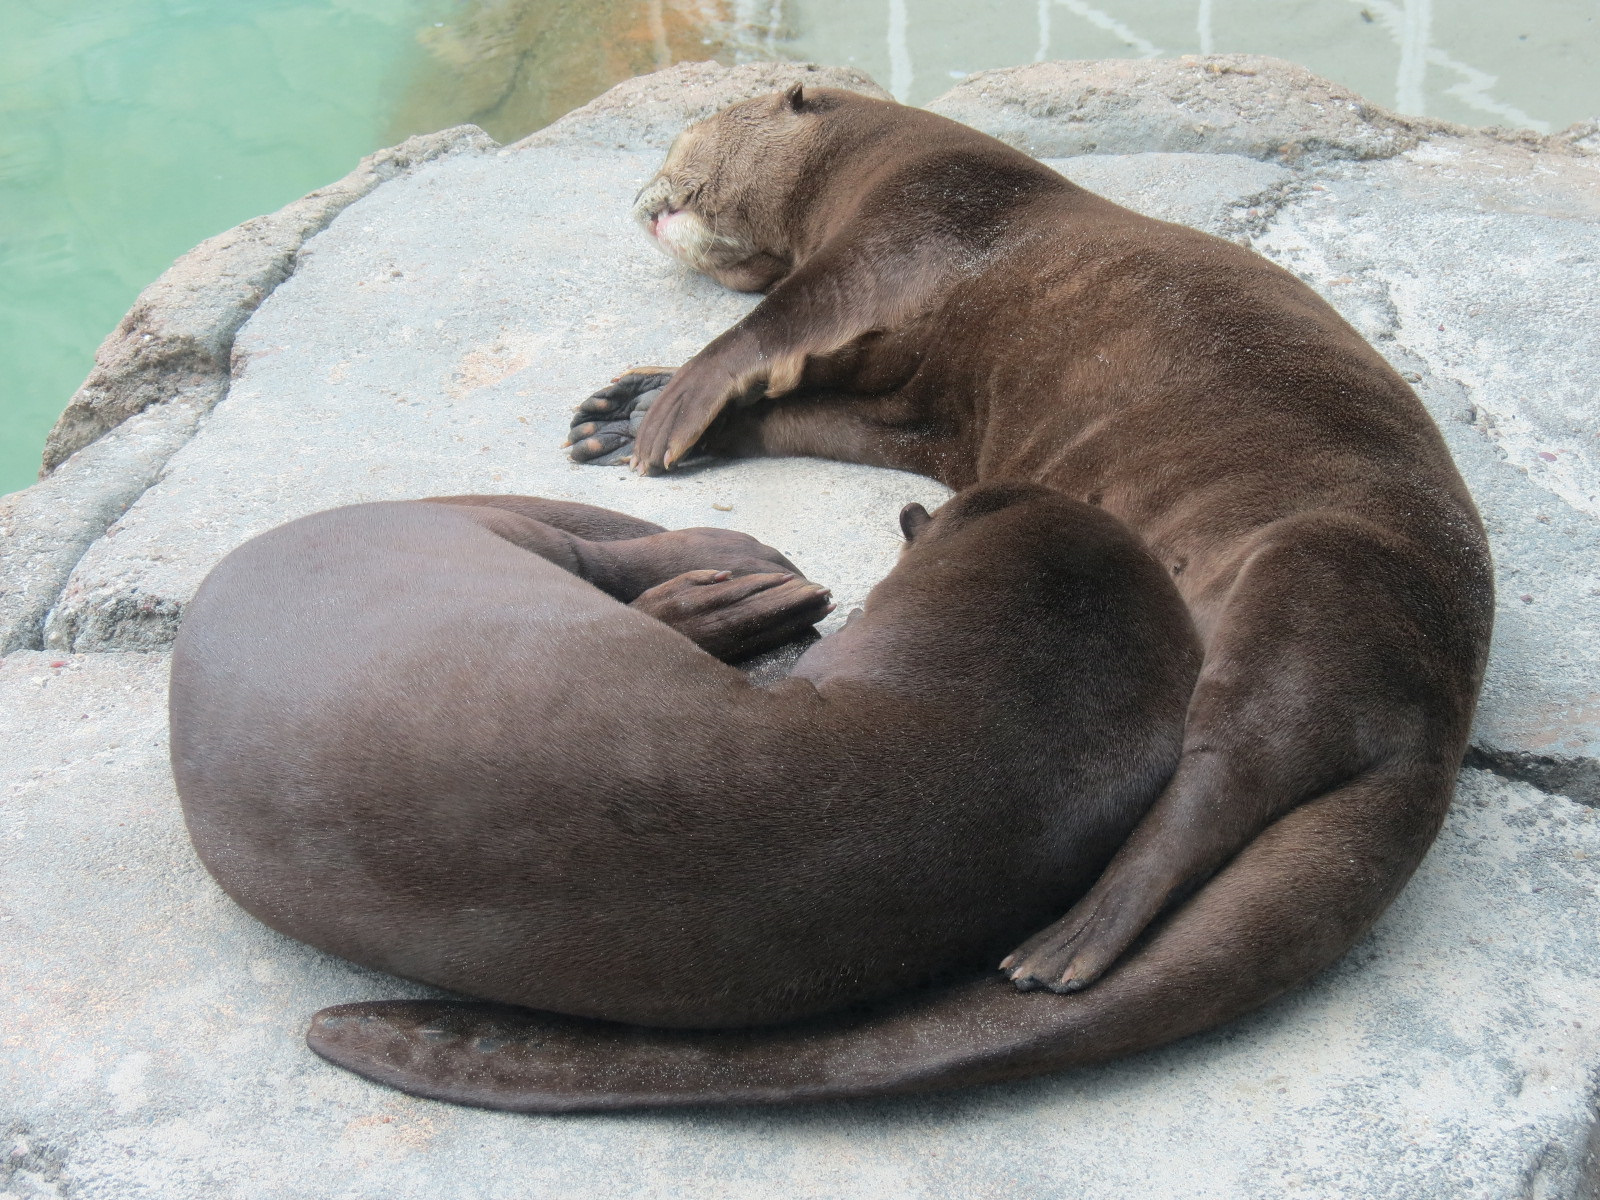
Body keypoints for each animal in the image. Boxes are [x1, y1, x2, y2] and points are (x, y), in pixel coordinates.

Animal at [307, 85, 1492, 1110]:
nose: (641, 192)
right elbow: (796, 408)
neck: (887, 157)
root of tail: (1434, 726)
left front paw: (670, 400)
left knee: (1233, 766)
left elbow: (776, 321)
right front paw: (627, 408)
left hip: (1325, 575)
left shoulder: (914, 232)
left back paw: (1066, 945)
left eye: (689, 133)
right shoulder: (912, 412)